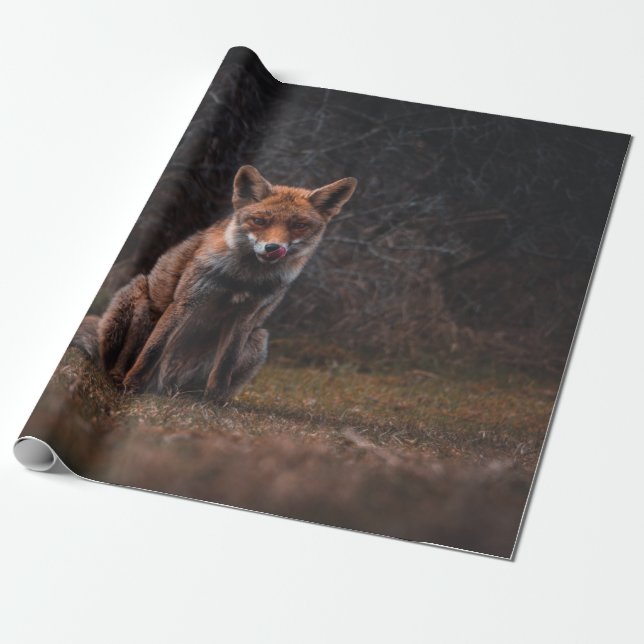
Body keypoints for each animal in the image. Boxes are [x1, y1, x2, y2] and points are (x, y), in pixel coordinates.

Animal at [72, 165, 357, 403]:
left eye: (298, 225)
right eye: (260, 221)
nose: (273, 247)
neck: (243, 278)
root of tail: (162, 385)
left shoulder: (245, 316)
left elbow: (226, 363)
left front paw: (215, 400)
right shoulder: (187, 301)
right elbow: (153, 349)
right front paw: (131, 385)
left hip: (258, 338)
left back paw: (193, 395)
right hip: (139, 303)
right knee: (116, 361)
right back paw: (119, 379)